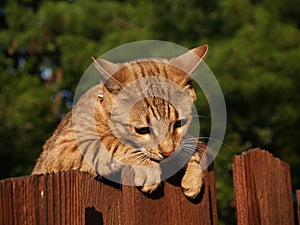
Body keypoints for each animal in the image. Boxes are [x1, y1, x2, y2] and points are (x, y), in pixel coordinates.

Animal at [31, 44, 209, 199]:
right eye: (142, 130)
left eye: (179, 123)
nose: (167, 153)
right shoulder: (63, 148)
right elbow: (113, 143)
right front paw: (147, 167)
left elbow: (189, 145)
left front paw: (193, 174)